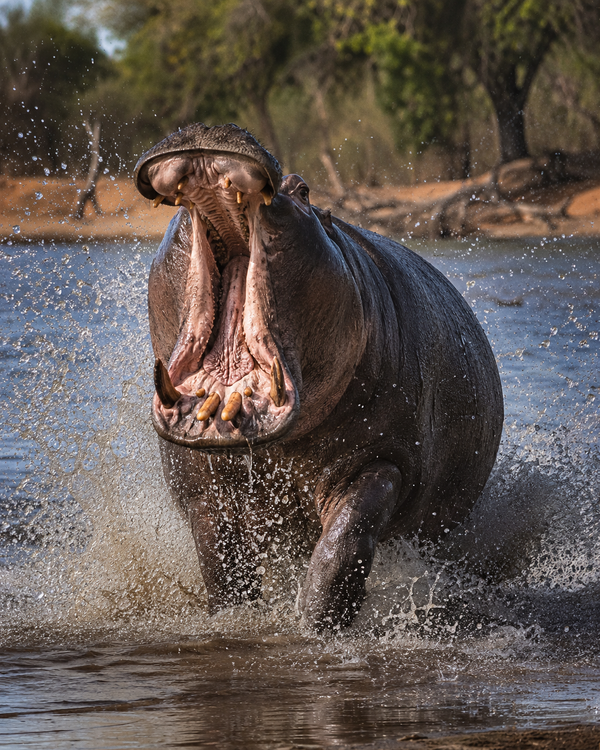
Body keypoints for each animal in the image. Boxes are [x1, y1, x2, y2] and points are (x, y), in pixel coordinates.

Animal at [133, 123, 503, 630]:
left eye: (304, 189)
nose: (214, 126)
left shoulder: (384, 458)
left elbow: (343, 544)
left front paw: (316, 624)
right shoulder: (199, 482)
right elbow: (221, 563)